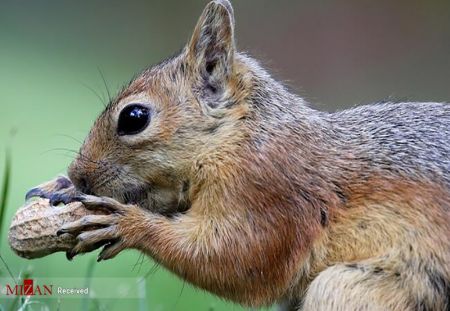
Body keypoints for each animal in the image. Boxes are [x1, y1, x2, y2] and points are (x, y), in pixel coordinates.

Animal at [28, 0, 450, 310]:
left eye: (134, 118)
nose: (79, 174)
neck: (239, 136)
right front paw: (60, 186)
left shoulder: (270, 192)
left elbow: (238, 259)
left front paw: (127, 224)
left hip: (355, 290)